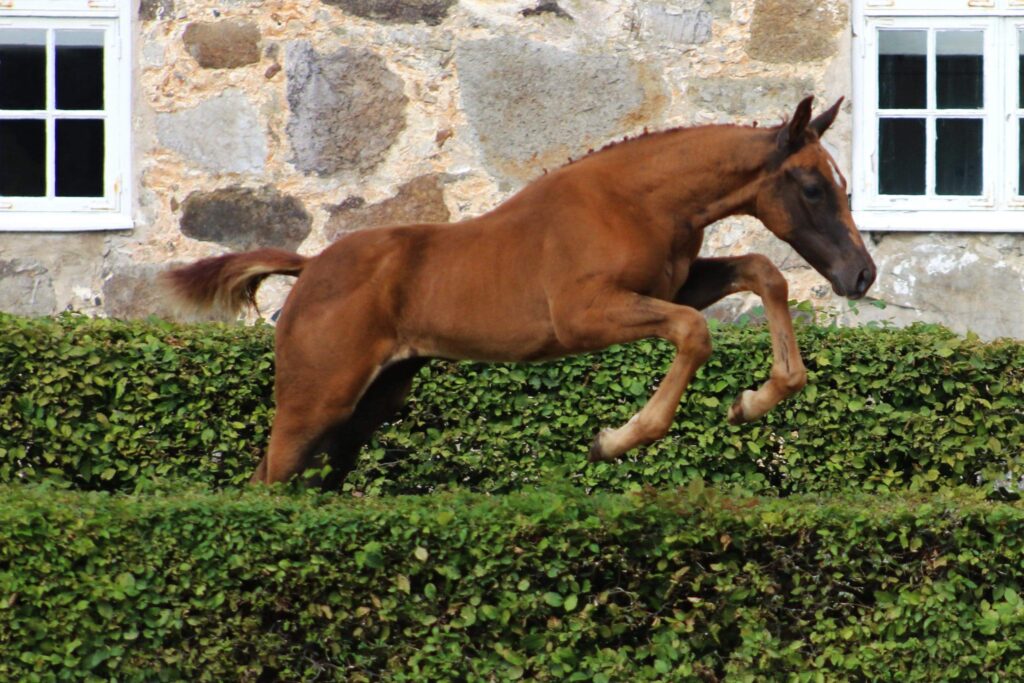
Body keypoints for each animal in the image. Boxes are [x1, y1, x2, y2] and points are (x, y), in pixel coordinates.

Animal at [163, 97, 876, 491]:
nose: (861, 275)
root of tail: (309, 267)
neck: (634, 201)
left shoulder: (673, 283)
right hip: (317, 398)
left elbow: (762, 272)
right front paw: (614, 441)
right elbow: (692, 332)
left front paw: (754, 402)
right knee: (266, 482)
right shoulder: (584, 315)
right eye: (813, 186)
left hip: (369, 407)